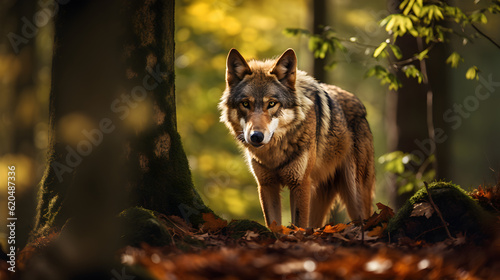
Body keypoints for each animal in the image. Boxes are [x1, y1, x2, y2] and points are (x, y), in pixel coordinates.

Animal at [219, 47, 376, 228]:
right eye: (245, 104)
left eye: (271, 104)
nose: (256, 136)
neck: (274, 154)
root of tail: (359, 104)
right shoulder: (267, 185)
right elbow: (274, 226)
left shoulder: (300, 184)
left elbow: (299, 226)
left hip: (355, 195)